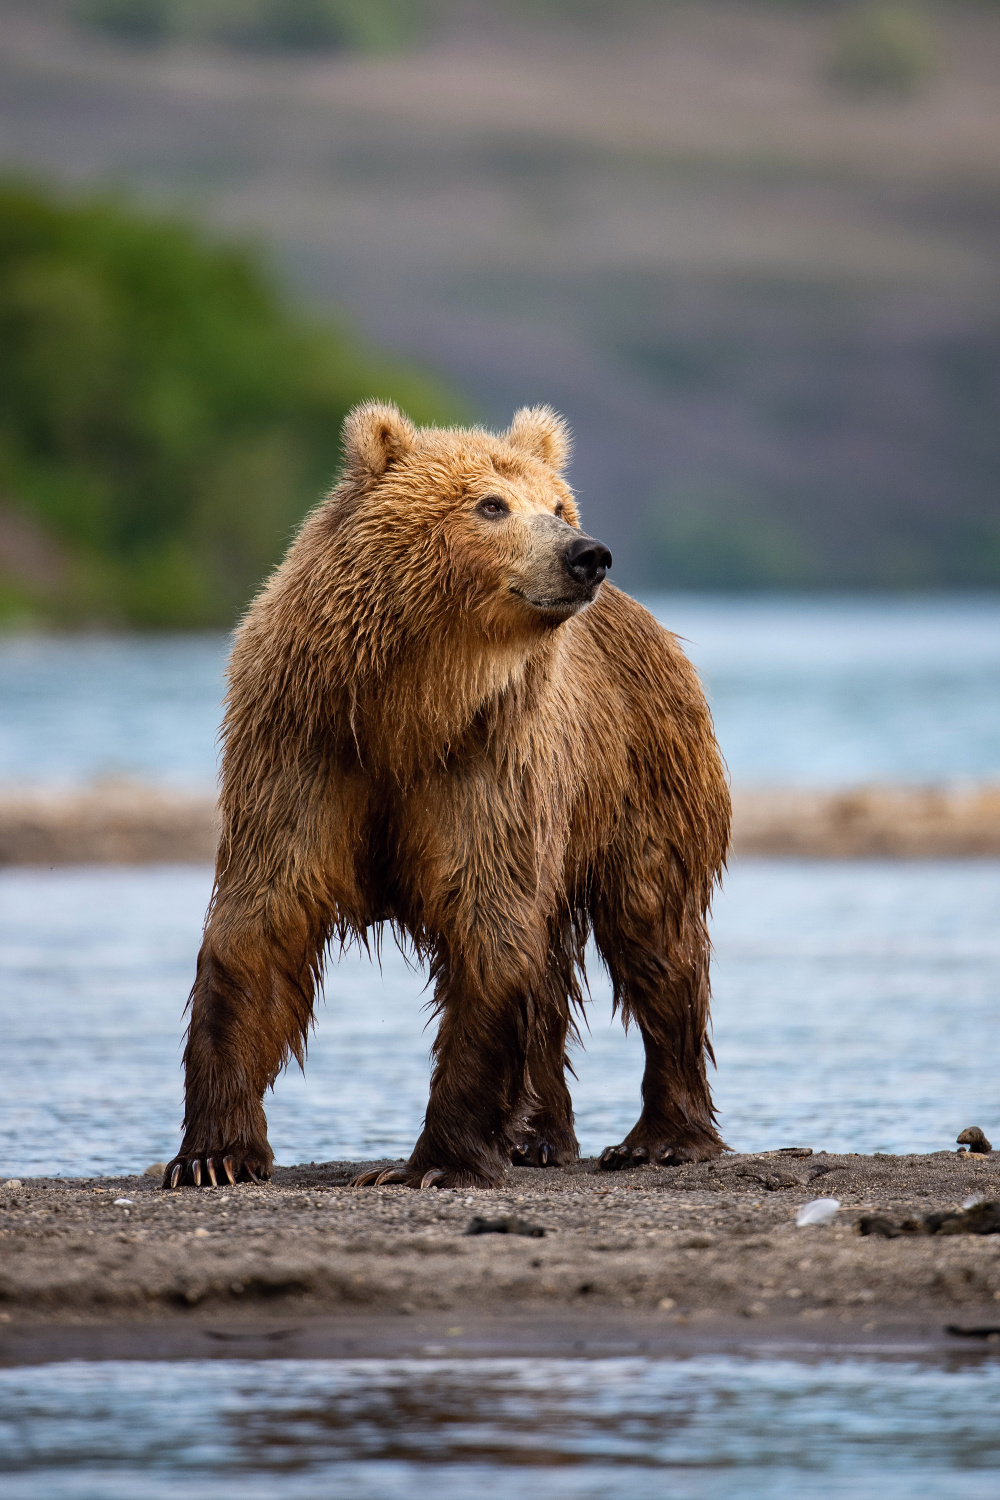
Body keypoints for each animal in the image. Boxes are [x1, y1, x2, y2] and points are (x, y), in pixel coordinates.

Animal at [162, 405, 728, 1188]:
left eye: (559, 505)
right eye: (491, 505)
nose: (587, 554)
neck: (408, 709)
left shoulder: (488, 762)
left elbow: (488, 933)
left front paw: (436, 1163)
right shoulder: (302, 752)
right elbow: (263, 924)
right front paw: (214, 1154)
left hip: (639, 776)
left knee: (655, 934)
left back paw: (661, 1136)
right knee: (555, 971)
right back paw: (537, 1136)